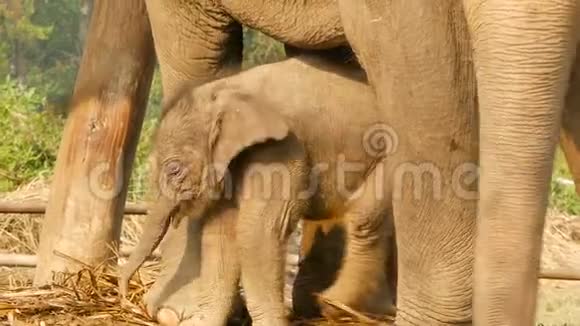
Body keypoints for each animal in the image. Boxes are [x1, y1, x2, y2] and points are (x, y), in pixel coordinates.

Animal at [121, 54, 394, 324]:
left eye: (174, 170)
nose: (127, 296)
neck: (227, 89)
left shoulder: (282, 151)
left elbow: (258, 232)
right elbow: (221, 231)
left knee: (364, 216)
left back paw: (336, 304)